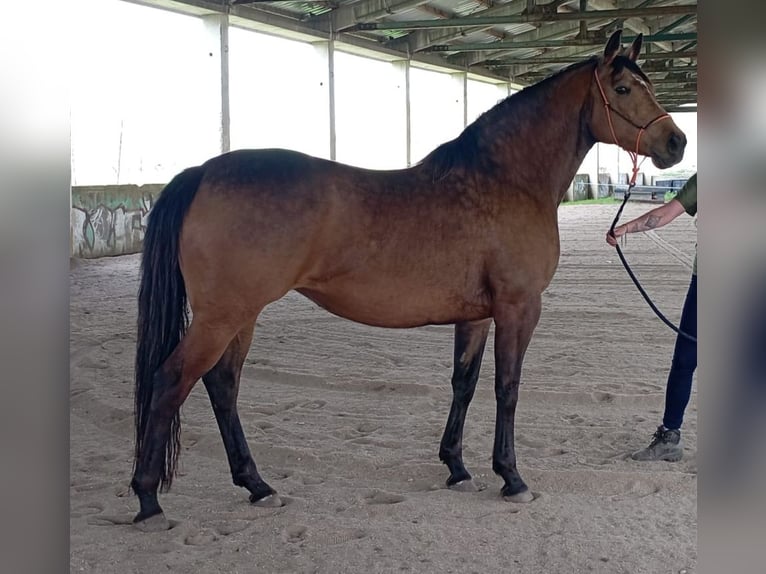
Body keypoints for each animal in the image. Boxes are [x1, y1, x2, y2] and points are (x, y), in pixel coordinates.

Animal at [129, 28, 688, 532]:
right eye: (623, 89)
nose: (676, 142)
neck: (504, 179)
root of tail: (202, 172)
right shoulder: (518, 307)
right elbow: (507, 387)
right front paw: (511, 478)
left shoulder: (477, 316)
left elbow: (464, 384)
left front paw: (457, 468)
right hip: (223, 316)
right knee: (171, 381)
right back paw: (149, 501)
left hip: (240, 315)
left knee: (222, 384)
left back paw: (257, 486)